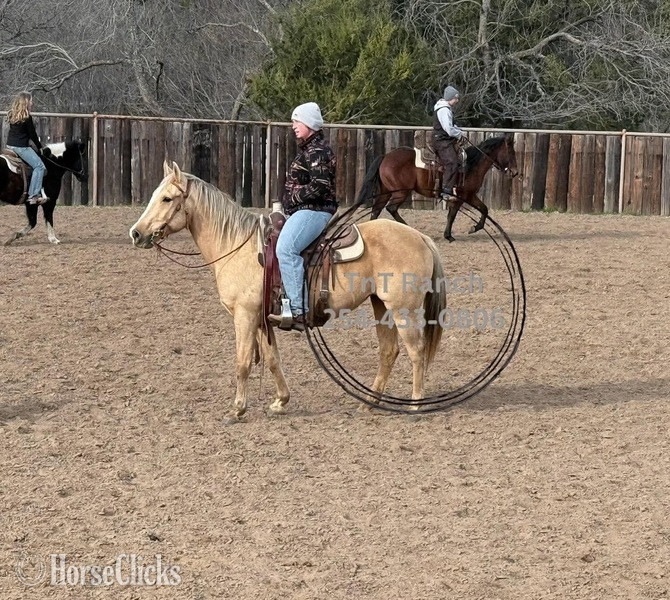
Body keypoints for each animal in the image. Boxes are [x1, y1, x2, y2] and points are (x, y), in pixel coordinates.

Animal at [129, 161, 447, 420]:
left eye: (167, 198)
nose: (136, 233)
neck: (236, 245)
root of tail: (420, 236)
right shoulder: (263, 318)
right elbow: (271, 359)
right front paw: (280, 402)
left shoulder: (244, 315)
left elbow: (242, 362)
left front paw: (237, 409)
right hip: (380, 305)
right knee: (389, 351)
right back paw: (367, 404)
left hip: (403, 308)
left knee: (416, 352)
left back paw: (414, 407)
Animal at [356, 133, 518, 242]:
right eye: (511, 152)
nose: (515, 172)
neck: (471, 164)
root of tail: (385, 156)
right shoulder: (461, 196)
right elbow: (452, 215)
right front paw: (449, 235)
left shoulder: (470, 195)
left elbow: (484, 209)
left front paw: (474, 228)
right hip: (401, 192)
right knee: (391, 208)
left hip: (385, 191)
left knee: (376, 210)